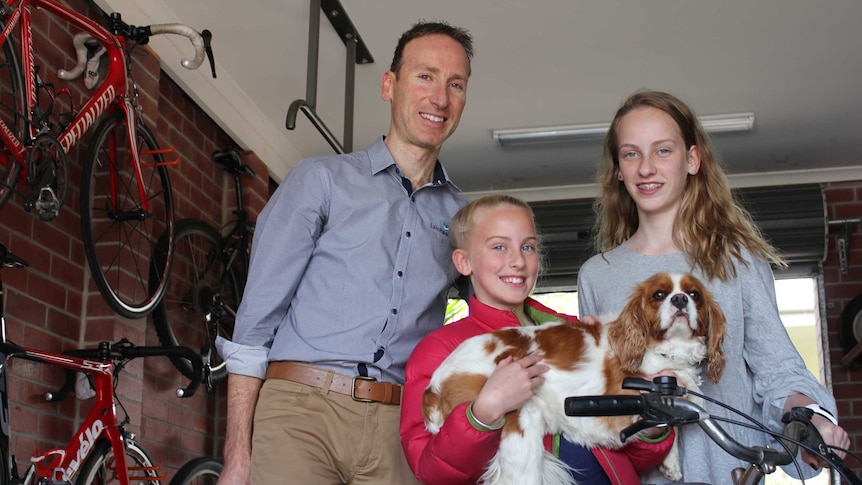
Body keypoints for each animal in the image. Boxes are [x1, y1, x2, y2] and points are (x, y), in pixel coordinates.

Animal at [426, 272, 728, 484]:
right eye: (659, 294)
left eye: (694, 294)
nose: (680, 299)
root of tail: (433, 388)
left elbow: (672, 420)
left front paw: (671, 463)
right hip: (520, 421)